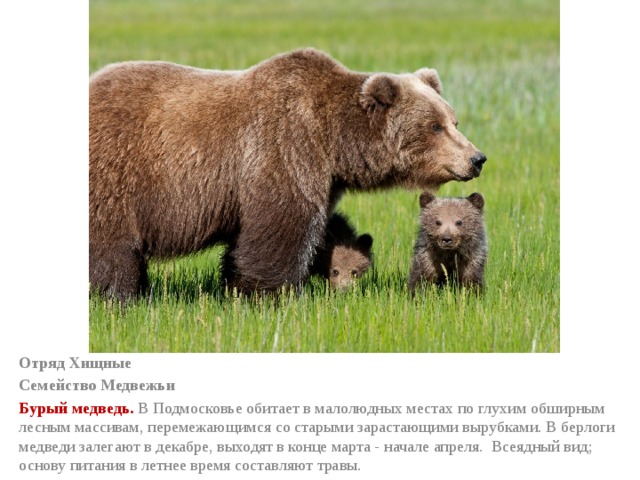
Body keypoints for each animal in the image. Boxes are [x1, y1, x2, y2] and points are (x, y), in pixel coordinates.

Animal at [89, 48, 486, 300]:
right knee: (110, 245)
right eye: (434, 126)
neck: (333, 140)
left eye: (453, 120)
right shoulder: (284, 147)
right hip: (118, 174)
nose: (477, 158)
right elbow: (280, 227)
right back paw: (118, 295)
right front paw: (268, 294)